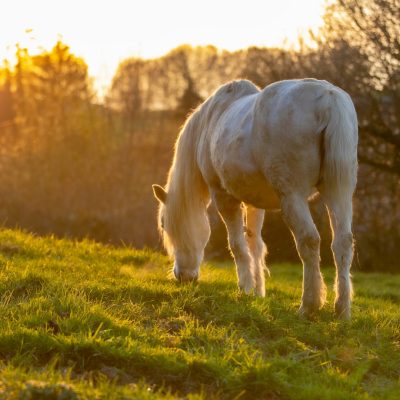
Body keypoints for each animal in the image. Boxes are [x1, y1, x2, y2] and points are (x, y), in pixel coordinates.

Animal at [152, 79, 358, 318]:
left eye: (164, 225)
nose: (183, 277)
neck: (210, 124)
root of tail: (329, 98)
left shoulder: (223, 196)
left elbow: (237, 245)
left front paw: (245, 289)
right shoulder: (254, 202)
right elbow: (255, 243)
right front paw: (258, 292)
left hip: (293, 196)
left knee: (309, 240)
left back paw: (308, 305)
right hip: (339, 191)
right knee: (343, 242)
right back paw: (342, 310)